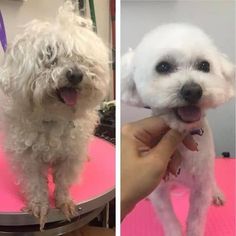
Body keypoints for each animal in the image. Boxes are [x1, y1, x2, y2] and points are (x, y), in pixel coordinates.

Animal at [0, 0, 109, 230]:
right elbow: (35, 184)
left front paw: (64, 201)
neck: (52, 116)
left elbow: (63, 181)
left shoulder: (70, 155)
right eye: (49, 55)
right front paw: (40, 205)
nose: (75, 74)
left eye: (81, 58)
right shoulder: (27, 159)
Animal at [121, 23, 235, 236]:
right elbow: (168, 218)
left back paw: (215, 192)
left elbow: (196, 218)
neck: (183, 135)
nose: (193, 90)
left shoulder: (201, 186)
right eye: (163, 67)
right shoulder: (159, 190)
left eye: (204, 66)